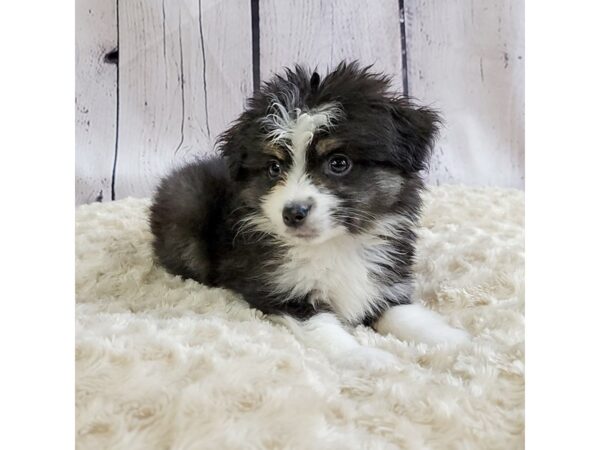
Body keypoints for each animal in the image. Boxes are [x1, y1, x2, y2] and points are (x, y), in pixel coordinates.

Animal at [150, 60, 468, 356]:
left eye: (339, 162)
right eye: (274, 167)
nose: (292, 213)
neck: (336, 245)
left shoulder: (387, 282)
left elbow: (409, 316)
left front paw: (454, 341)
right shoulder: (279, 290)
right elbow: (323, 327)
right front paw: (366, 358)